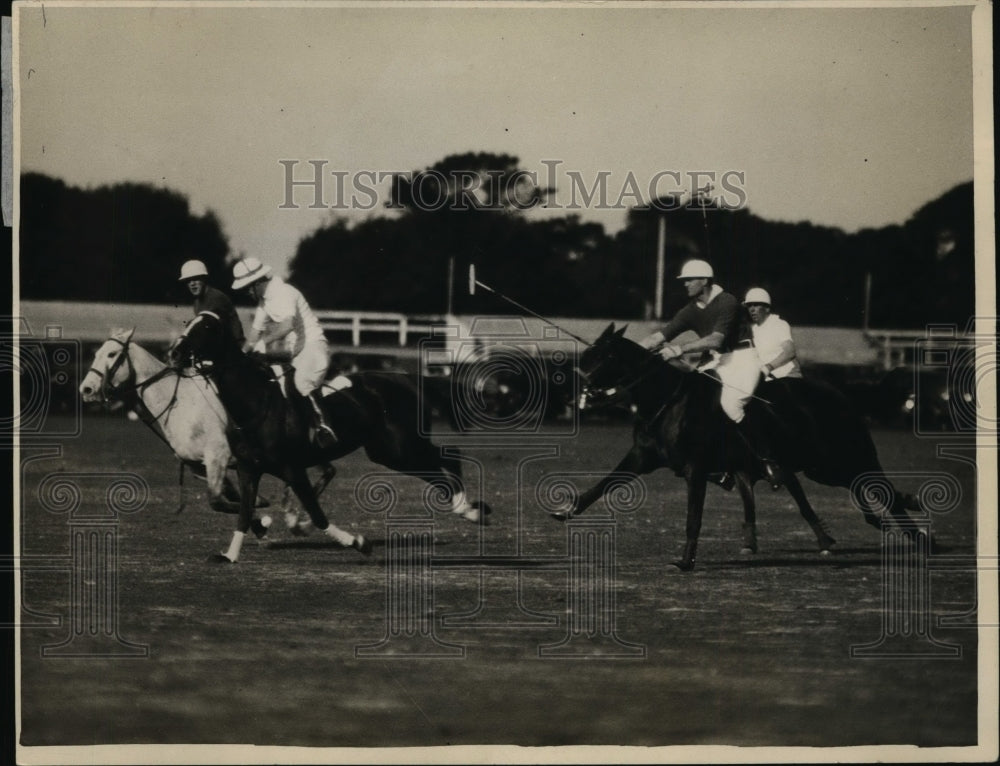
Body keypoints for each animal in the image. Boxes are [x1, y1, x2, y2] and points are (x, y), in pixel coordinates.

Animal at [556, 322, 928, 568]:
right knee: (866, 488)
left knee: (882, 490)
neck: (667, 401)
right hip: (820, 467)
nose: (572, 390)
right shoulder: (642, 457)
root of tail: (843, 396)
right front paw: (566, 510)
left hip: (839, 459)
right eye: (588, 353)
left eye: (603, 356)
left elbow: (694, 517)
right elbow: (605, 483)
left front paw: (685, 561)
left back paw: (924, 538)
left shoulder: (695, 468)